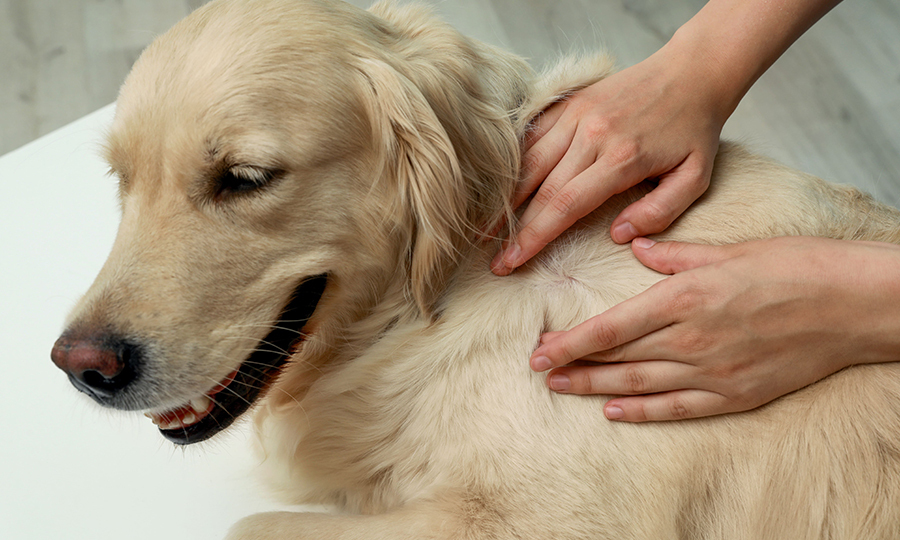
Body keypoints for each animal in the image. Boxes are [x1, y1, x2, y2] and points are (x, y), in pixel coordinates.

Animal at [52, 2, 900, 536]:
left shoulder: (547, 519)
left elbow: (248, 525)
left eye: (246, 178)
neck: (446, 285)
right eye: (121, 179)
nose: (81, 367)